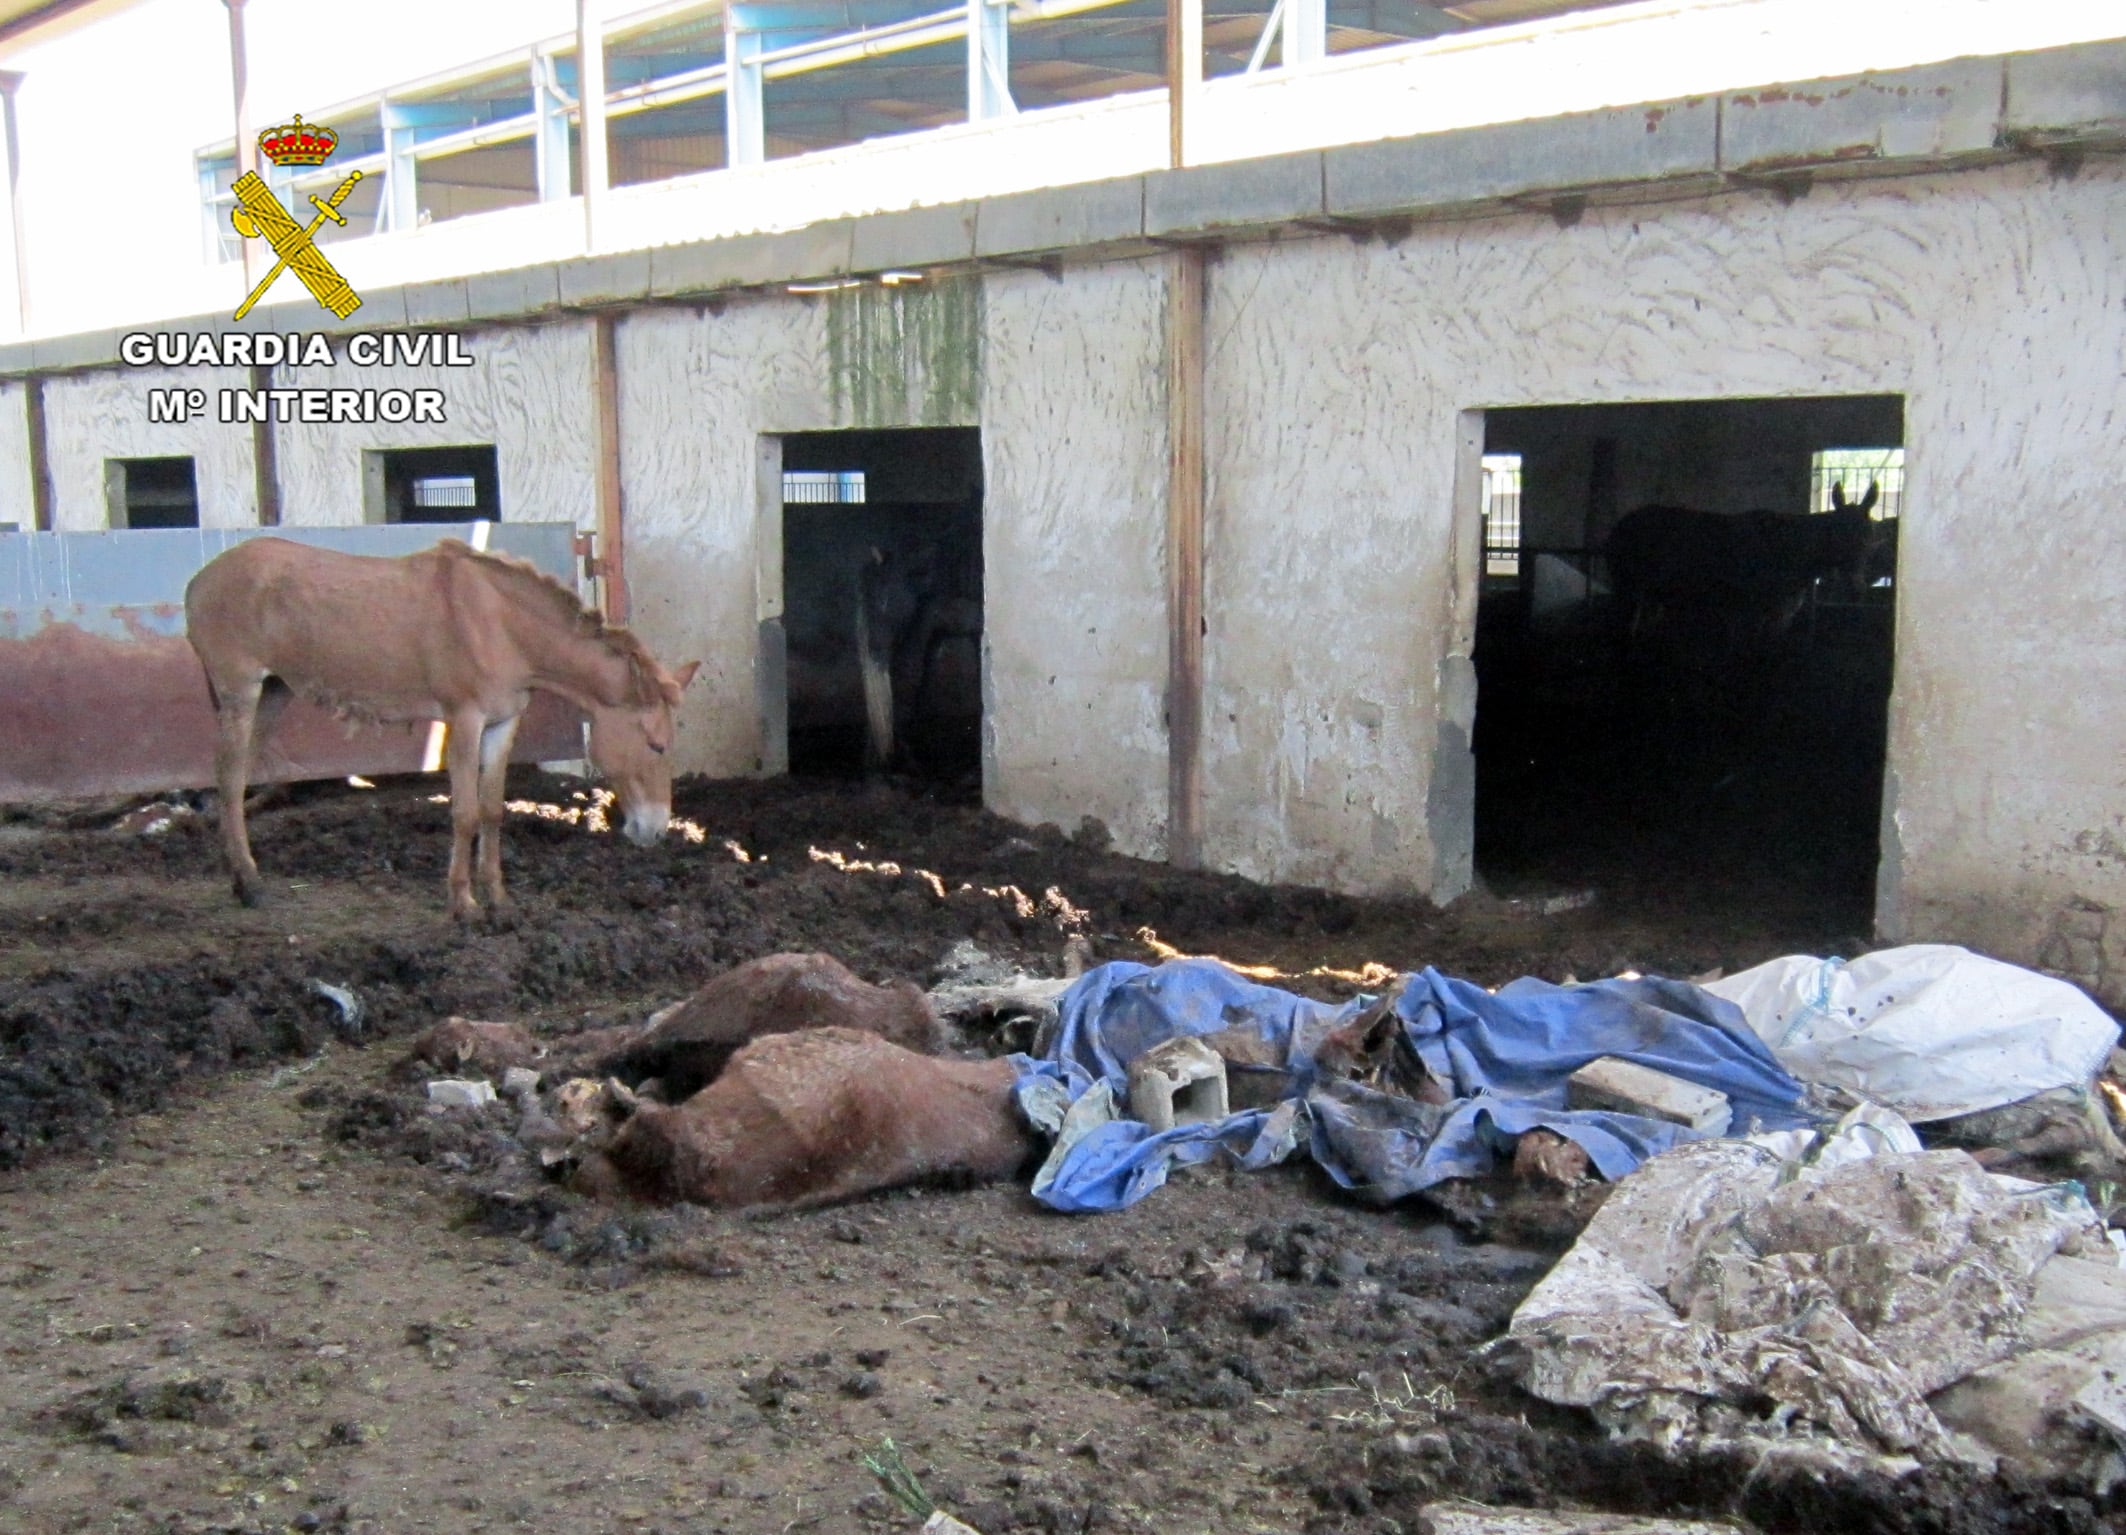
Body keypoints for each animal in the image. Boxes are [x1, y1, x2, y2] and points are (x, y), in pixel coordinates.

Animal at [183, 535, 697, 914]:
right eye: (656, 745)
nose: (656, 831)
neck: (503, 626)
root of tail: (200, 579)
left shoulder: (503, 722)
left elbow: (491, 810)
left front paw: (498, 898)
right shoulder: (464, 719)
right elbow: (465, 813)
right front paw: (463, 903)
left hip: (274, 692)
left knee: (239, 777)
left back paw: (242, 877)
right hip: (240, 691)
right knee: (228, 778)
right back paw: (249, 883)